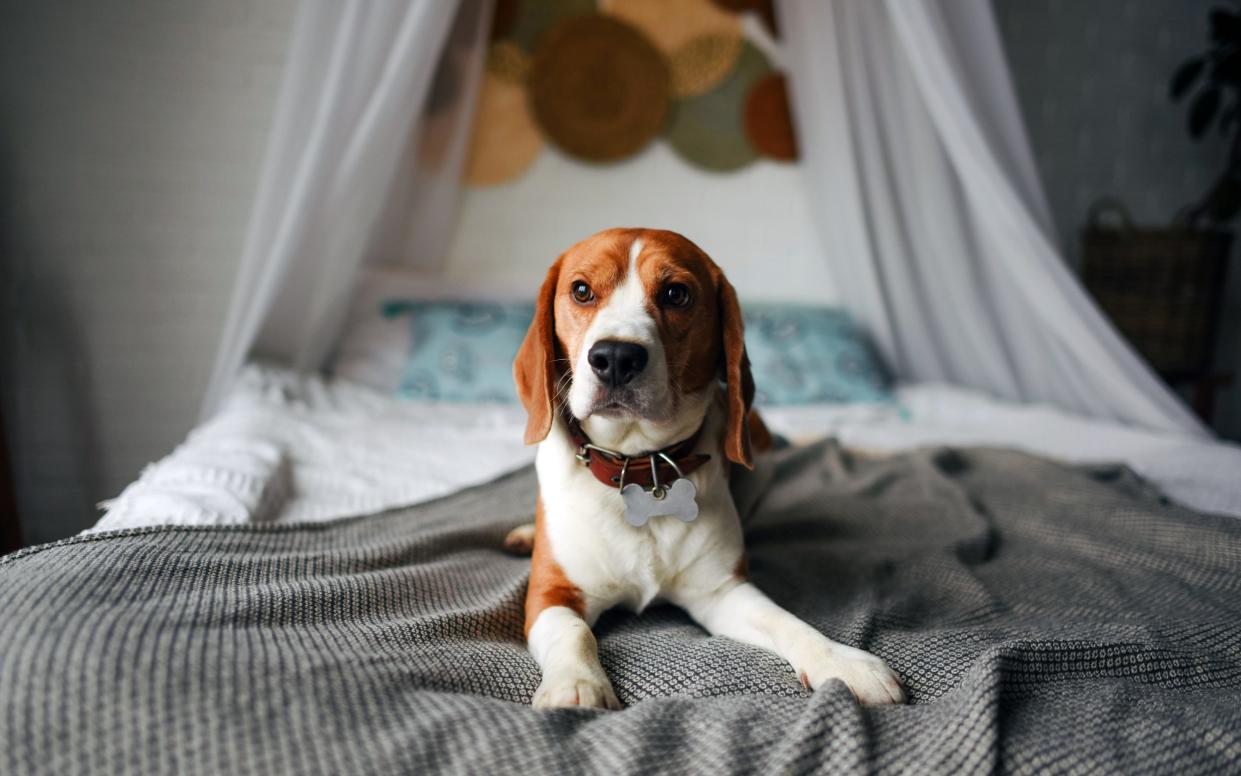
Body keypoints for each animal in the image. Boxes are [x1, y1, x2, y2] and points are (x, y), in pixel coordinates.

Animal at [503, 228, 903, 710]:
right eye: (581, 290)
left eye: (676, 294)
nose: (616, 357)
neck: (642, 469)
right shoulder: (550, 596)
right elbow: (573, 632)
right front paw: (576, 684)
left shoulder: (723, 593)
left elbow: (788, 621)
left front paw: (841, 661)